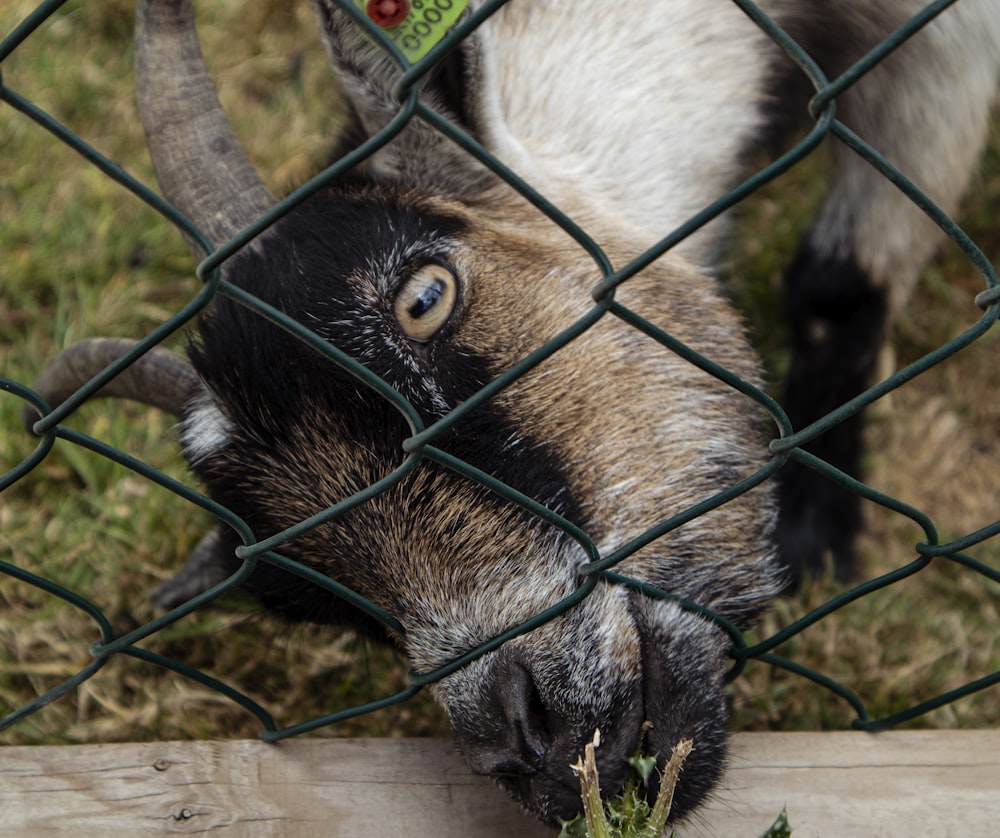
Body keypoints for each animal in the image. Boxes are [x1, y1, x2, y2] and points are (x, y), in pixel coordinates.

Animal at [27, 0, 996, 828]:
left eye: (426, 297)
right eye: (303, 595)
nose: (537, 747)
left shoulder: (944, 45)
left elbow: (840, 283)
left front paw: (819, 534)